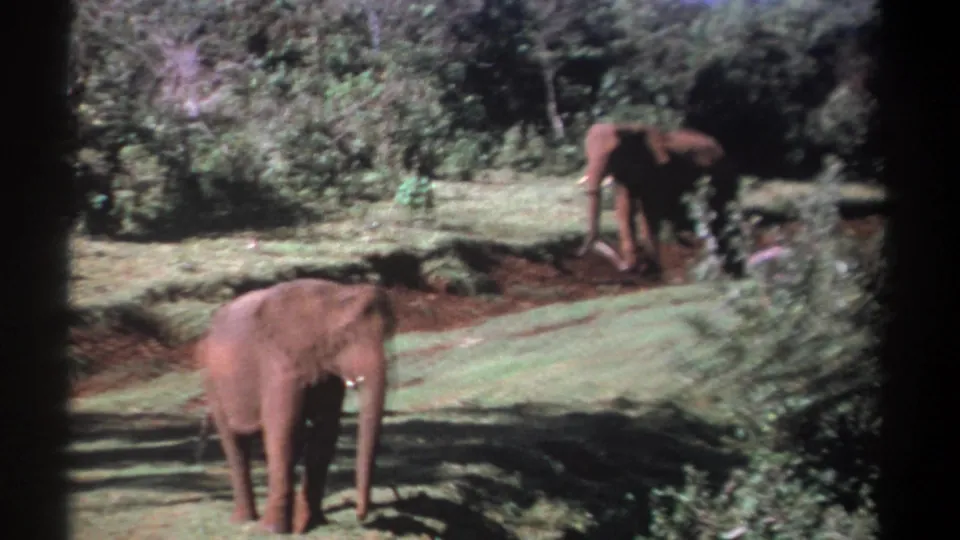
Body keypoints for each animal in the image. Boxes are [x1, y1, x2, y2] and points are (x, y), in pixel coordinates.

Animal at [197, 278, 397, 534]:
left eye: (389, 332)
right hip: (212, 380)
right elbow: (283, 430)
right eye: (345, 335)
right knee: (235, 443)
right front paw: (273, 531)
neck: (332, 294)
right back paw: (243, 521)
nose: (360, 516)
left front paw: (313, 524)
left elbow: (326, 430)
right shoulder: (278, 362)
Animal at [576, 122, 742, 277]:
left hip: (723, 177)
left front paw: (651, 269)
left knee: (720, 214)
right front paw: (639, 268)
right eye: (587, 152)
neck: (627, 128)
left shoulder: (658, 172)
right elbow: (624, 209)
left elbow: (649, 213)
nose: (579, 252)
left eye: (613, 153)